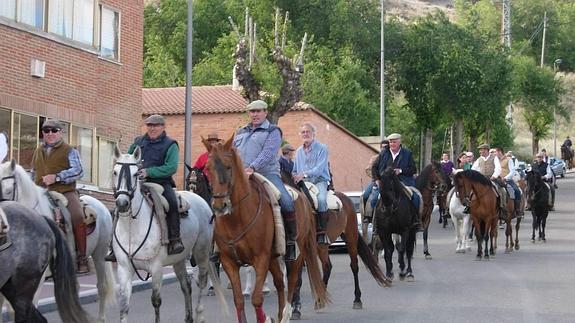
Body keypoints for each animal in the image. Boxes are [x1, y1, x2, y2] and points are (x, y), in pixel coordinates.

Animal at [112, 147, 225, 323]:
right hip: (179, 259)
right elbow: (124, 306)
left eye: (136, 174)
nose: (122, 203)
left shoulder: (156, 267)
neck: (133, 227)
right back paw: (188, 317)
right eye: (115, 172)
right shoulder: (124, 268)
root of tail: (202, 202)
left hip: (202, 253)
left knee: (202, 280)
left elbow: (156, 301)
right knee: (186, 285)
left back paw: (199, 313)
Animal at [204, 137, 330, 323]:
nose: (220, 205)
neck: (237, 220)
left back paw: (287, 314)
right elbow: (239, 300)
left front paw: (265, 317)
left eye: (228, 166)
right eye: (207, 167)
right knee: (279, 282)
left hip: (296, 255)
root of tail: (304, 198)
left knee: (292, 281)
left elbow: (257, 298)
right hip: (273, 258)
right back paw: (279, 315)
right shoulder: (229, 262)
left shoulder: (261, 259)